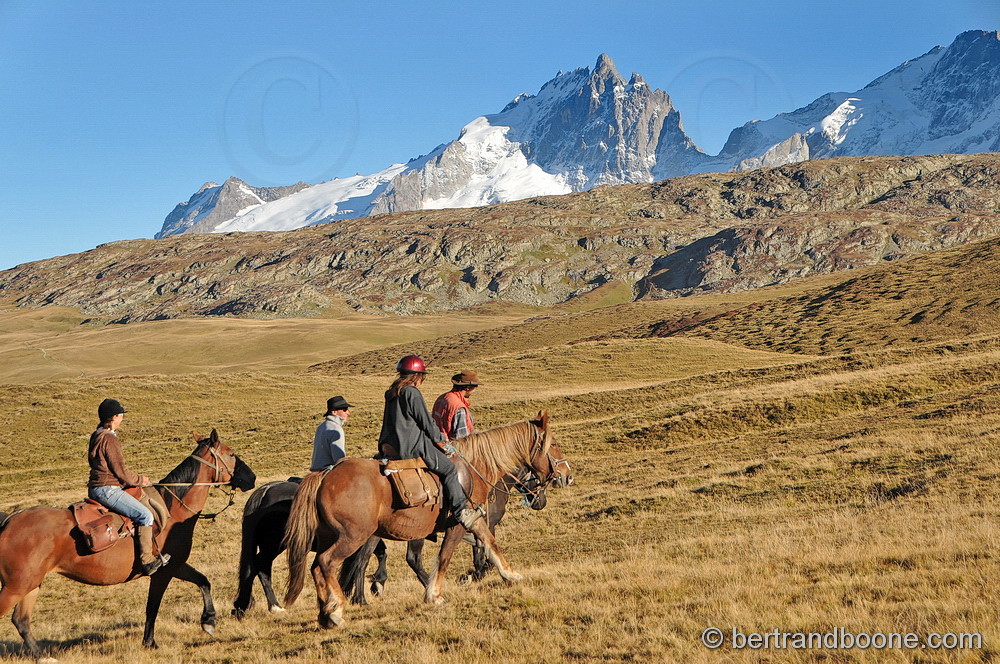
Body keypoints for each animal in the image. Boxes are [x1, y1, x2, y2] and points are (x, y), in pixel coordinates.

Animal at [0, 430, 256, 661]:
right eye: (231, 454)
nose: (252, 478)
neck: (172, 509)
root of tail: (9, 521)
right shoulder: (163, 572)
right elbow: (153, 606)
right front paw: (150, 642)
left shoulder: (176, 565)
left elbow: (203, 581)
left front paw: (209, 620)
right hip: (16, 586)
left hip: (31, 585)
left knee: (21, 621)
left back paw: (41, 655)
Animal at [283, 412, 568, 628]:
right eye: (553, 444)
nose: (566, 475)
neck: (475, 466)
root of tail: (326, 475)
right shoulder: (460, 523)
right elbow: (448, 556)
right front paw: (436, 594)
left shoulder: (474, 520)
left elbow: (489, 544)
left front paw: (510, 575)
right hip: (354, 536)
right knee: (329, 562)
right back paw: (338, 609)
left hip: (340, 536)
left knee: (318, 567)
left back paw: (326, 612)